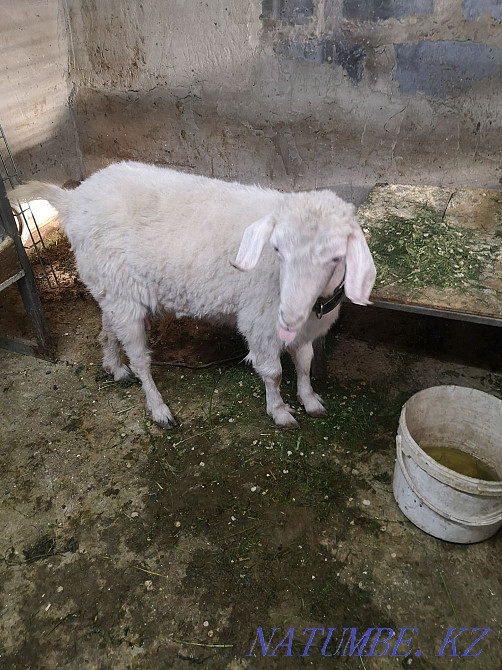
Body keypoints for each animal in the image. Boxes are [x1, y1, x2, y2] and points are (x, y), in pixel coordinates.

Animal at [11, 162, 376, 428]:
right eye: (277, 249)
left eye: (336, 256)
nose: (289, 314)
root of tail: (73, 200)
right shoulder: (260, 321)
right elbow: (273, 372)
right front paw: (280, 411)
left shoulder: (305, 328)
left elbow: (305, 361)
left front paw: (310, 399)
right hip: (121, 295)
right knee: (140, 359)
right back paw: (158, 408)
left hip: (112, 287)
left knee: (107, 328)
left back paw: (114, 367)